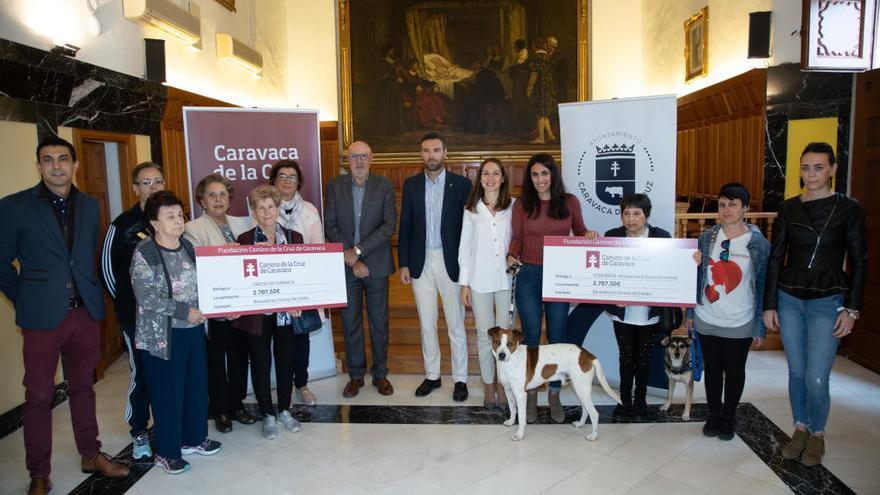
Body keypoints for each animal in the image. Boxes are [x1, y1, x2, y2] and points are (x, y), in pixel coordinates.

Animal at [488, 330, 620, 442]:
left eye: (509, 344)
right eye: (498, 343)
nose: (501, 355)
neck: (511, 360)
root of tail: (587, 354)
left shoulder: (520, 395)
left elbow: (521, 417)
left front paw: (519, 435)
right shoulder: (508, 390)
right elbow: (512, 408)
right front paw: (511, 422)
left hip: (582, 389)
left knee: (594, 413)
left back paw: (594, 436)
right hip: (579, 389)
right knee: (586, 409)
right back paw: (580, 424)